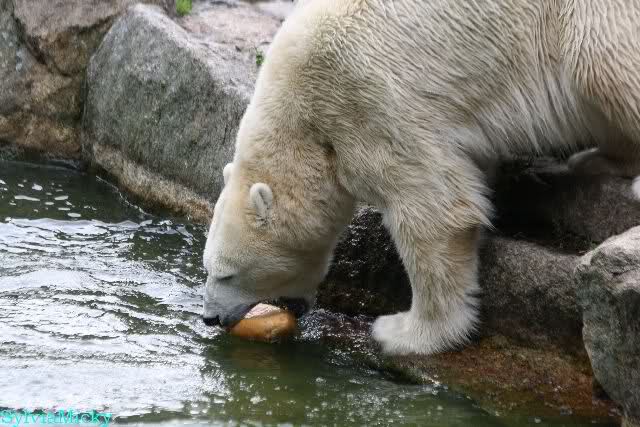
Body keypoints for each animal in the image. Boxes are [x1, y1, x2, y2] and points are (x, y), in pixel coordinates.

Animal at [202, 0, 640, 355]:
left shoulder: (368, 102)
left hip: (588, 17)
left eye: (225, 273)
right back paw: (597, 158)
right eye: (207, 268)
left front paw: (404, 333)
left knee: (602, 62)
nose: (209, 317)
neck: (302, 119)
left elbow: (435, 210)